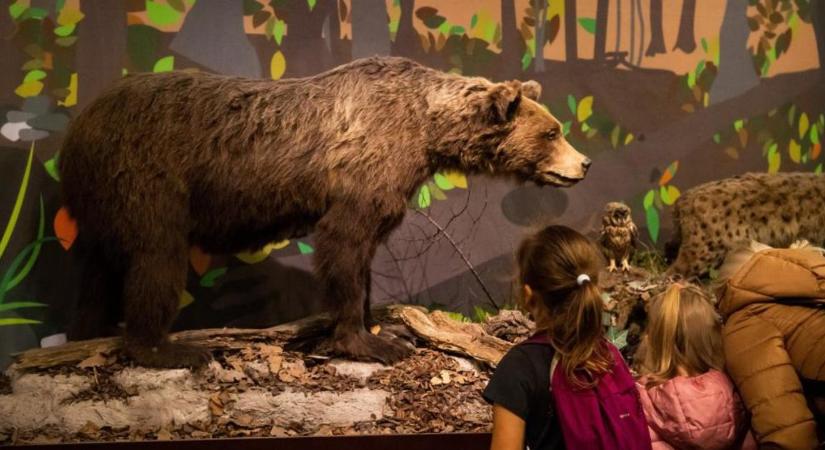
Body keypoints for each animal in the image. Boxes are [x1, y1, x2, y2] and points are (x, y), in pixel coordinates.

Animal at [61, 55, 588, 370]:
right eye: (552, 132)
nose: (582, 163)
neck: (425, 130)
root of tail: (81, 123)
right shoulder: (363, 175)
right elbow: (345, 247)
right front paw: (371, 340)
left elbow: (366, 254)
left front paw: (382, 323)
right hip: (149, 177)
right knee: (156, 257)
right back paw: (171, 347)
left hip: (105, 201)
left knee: (98, 272)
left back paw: (85, 335)